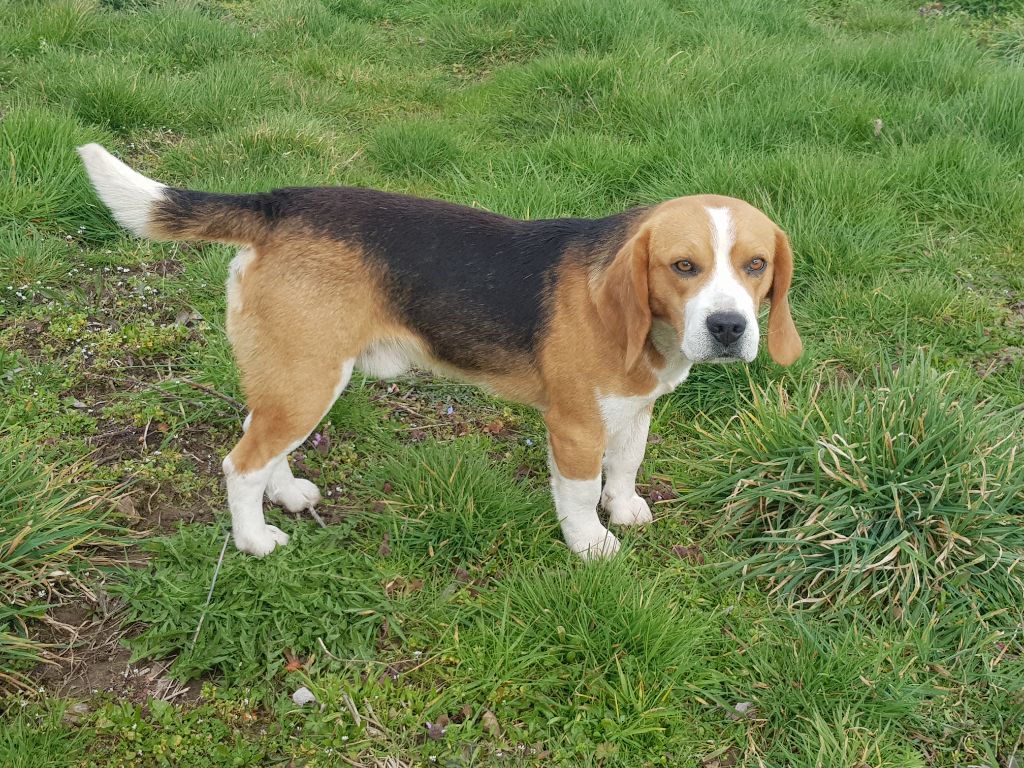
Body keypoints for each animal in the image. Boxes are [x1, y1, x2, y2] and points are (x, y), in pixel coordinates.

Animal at [77, 144, 798, 561]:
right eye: (683, 267)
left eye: (756, 265)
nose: (730, 327)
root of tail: (277, 205)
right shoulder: (574, 425)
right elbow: (578, 490)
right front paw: (592, 543)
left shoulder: (635, 410)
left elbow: (623, 468)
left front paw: (624, 510)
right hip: (309, 379)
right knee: (240, 464)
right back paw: (255, 541)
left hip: (295, 374)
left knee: (262, 440)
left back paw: (286, 495)